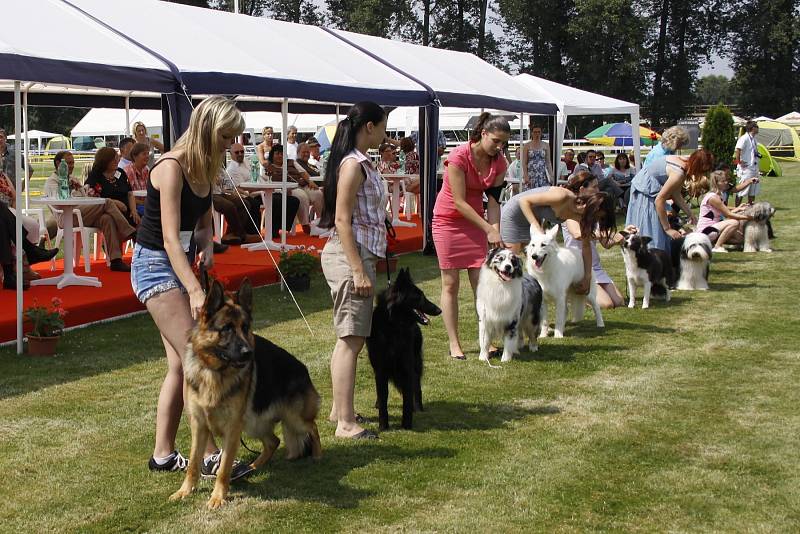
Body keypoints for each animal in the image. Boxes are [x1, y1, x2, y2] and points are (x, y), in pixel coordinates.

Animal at [171, 276, 322, 510]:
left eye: (245, 327)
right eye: (226, 328)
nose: (248, 353)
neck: (215, 372)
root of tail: (302, 368)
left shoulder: (232, 428)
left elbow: (224, 467)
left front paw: (218, 497)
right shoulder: (199, 425)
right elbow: (194, 462)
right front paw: (185, 490)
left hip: (292, 418)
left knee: (312, 427)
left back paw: (317, 455)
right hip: (253, 423)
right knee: (273, 441)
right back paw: (254, 466)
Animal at [366, 268, 440, 432]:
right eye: (419, 297)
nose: (440, 310)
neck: (394, 327)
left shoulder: (406, 367)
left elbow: (407, 398)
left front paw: (407, 425)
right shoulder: (380, 370)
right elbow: (383, 399)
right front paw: (383, 426)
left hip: (416, 363)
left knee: (416, 386)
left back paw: (418, 407)